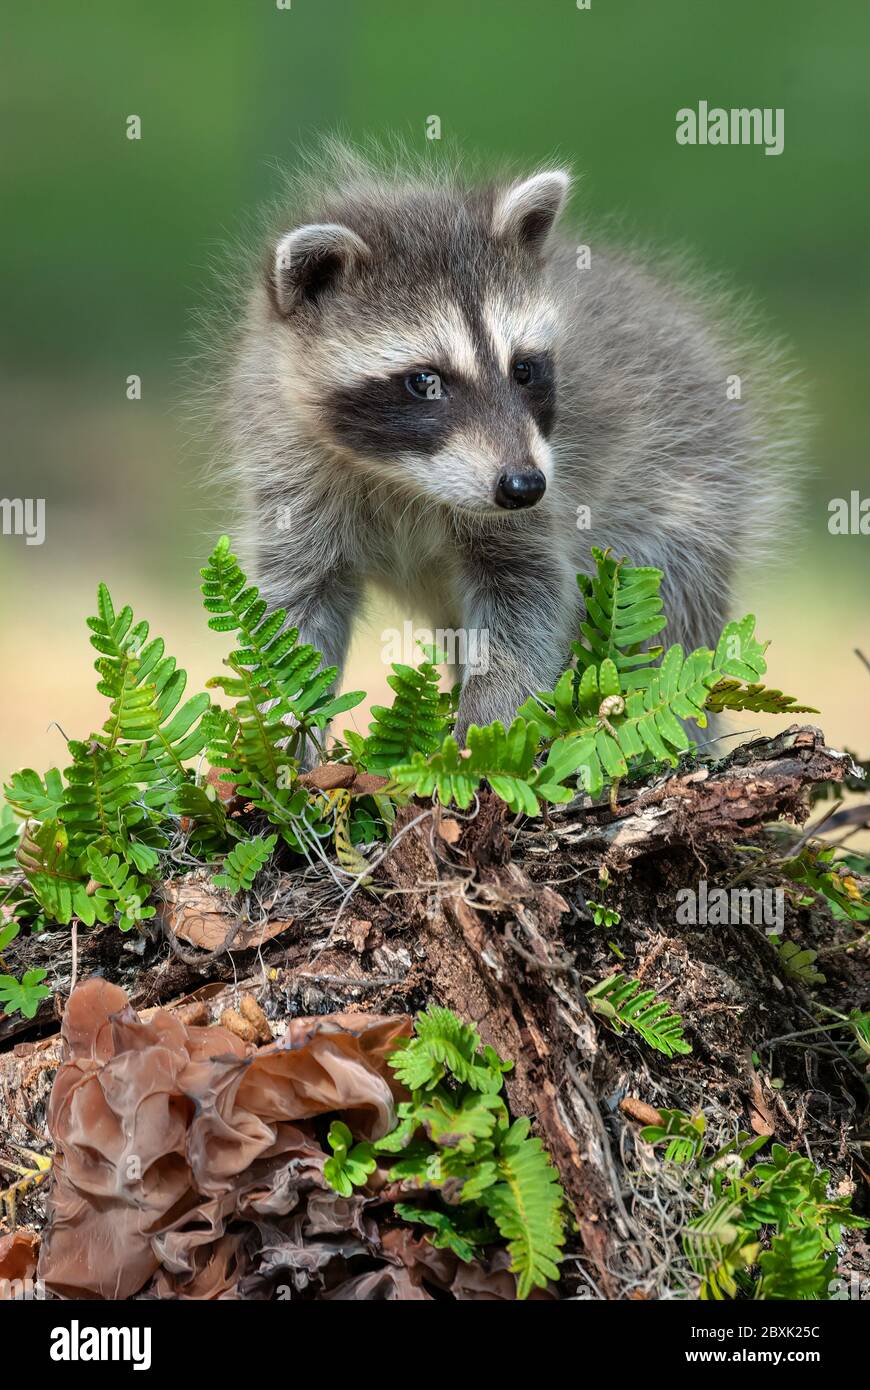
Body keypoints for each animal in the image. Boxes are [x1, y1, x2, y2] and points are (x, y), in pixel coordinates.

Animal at [223, 147, 801, 745]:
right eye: (425, 381)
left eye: (523, 369)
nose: (524, 486)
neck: (399, 474)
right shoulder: (289, 466)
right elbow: (293, 615)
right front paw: (284, 740)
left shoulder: (545, 493)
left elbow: (529, 600)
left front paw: (483, 733)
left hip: (692, 491)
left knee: (673, 628)